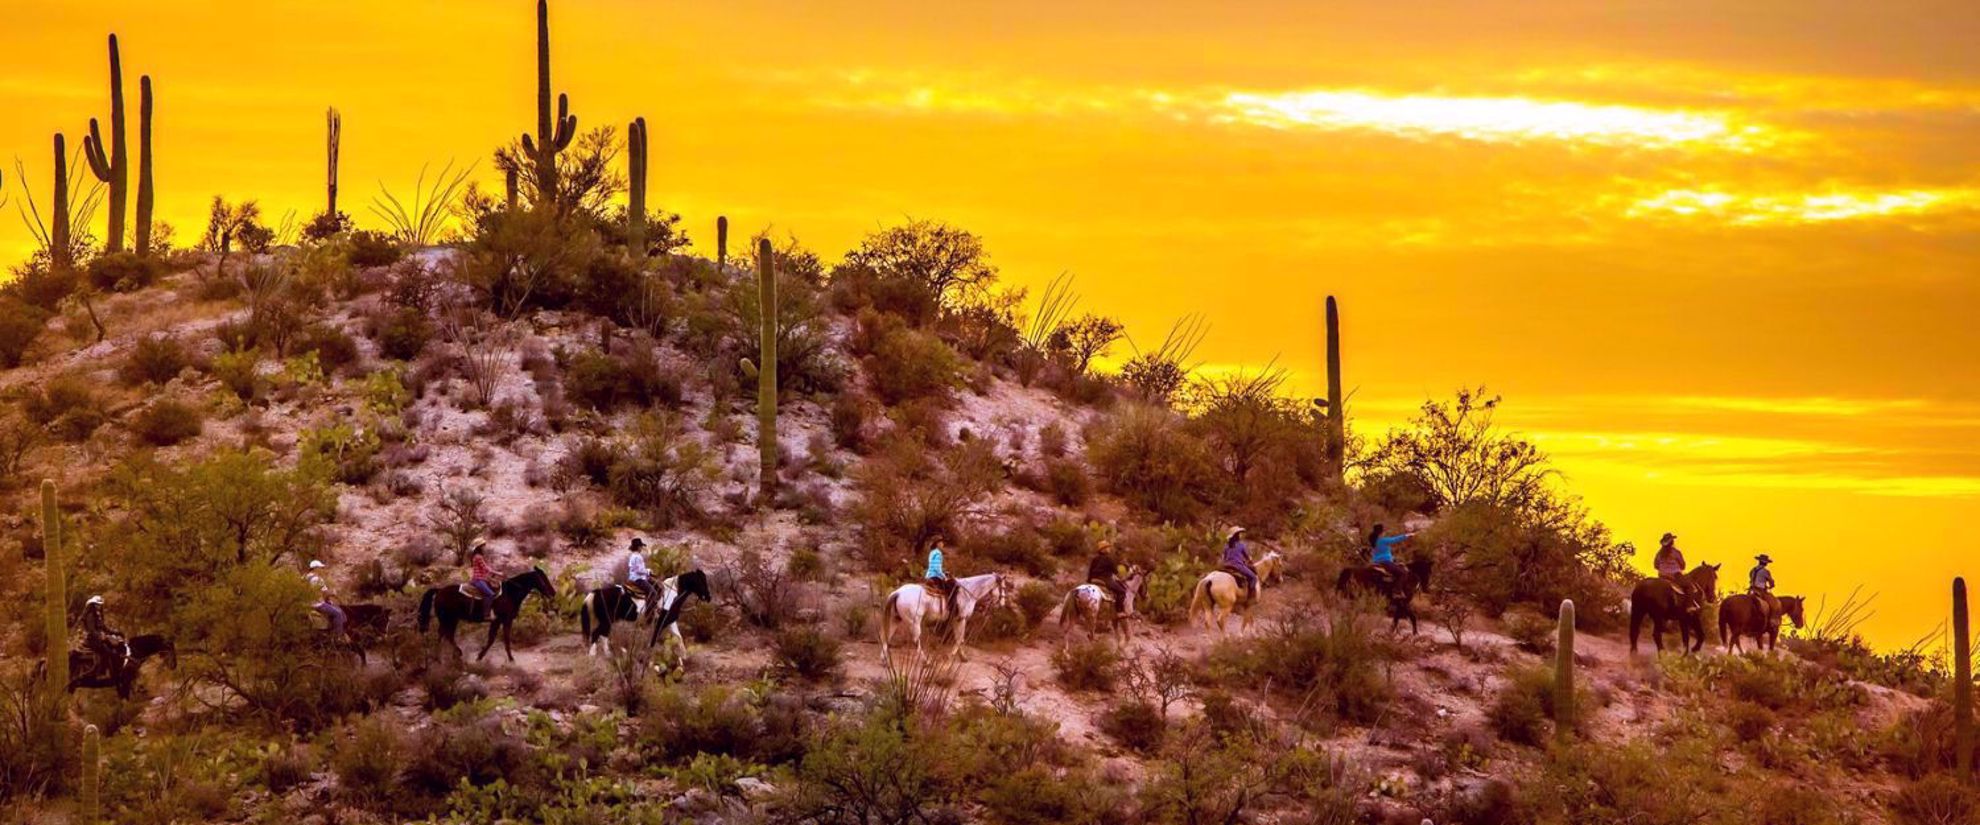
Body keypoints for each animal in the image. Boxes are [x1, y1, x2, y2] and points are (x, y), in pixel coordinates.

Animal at [415, 565, 558, 660]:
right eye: (543, 578)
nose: (553, 593)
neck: (510, 593)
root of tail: (439, 591)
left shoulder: (499, 621)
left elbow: (493, 638)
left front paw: (481, 656)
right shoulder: (504, 619)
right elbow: (501, 638)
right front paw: (510, 658)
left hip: (452, 619)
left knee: (446, 635)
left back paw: (452, 655)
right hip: (448, 618)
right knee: (444, 634)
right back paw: (444, 656)